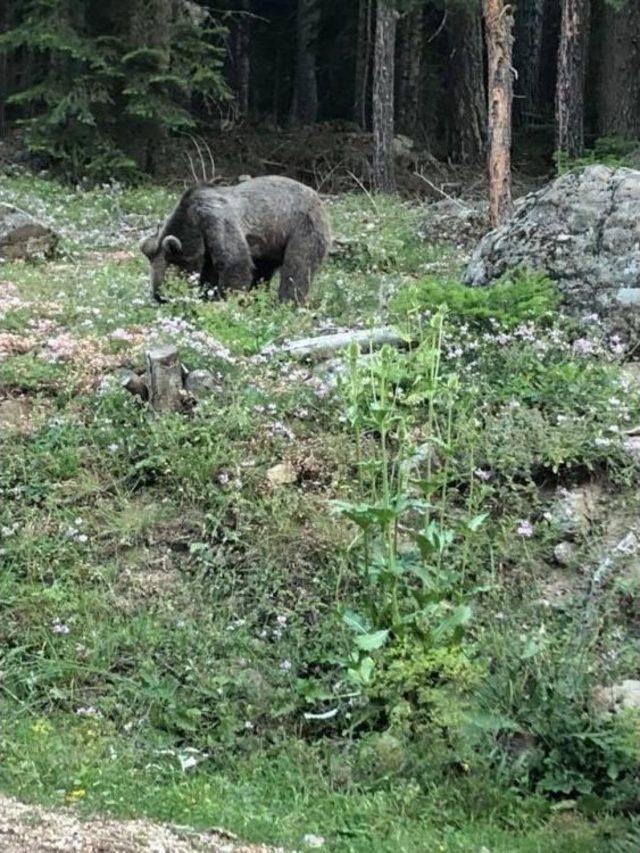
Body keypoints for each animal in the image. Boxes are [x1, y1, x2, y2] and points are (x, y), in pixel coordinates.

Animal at [140, 175, 330, 304]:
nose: (159, 297)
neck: (192, 224)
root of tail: (316, 194)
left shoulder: (214, 219)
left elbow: (235, 262)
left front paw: (225, 299)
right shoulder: (207, 245)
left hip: (300, 225)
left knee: (297, 267)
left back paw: (287, 302)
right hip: (269, 244)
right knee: (262, 271)